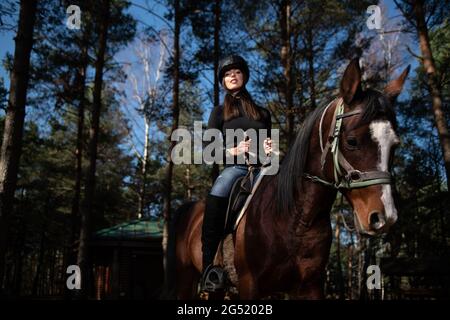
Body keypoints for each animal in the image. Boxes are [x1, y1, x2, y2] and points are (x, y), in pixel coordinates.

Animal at [174, 58, 410, 300]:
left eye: (395, 145)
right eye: (352, 141)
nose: (385, 217)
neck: (297, 217)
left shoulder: (310, 286)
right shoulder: (249, 284)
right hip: (185, 277)